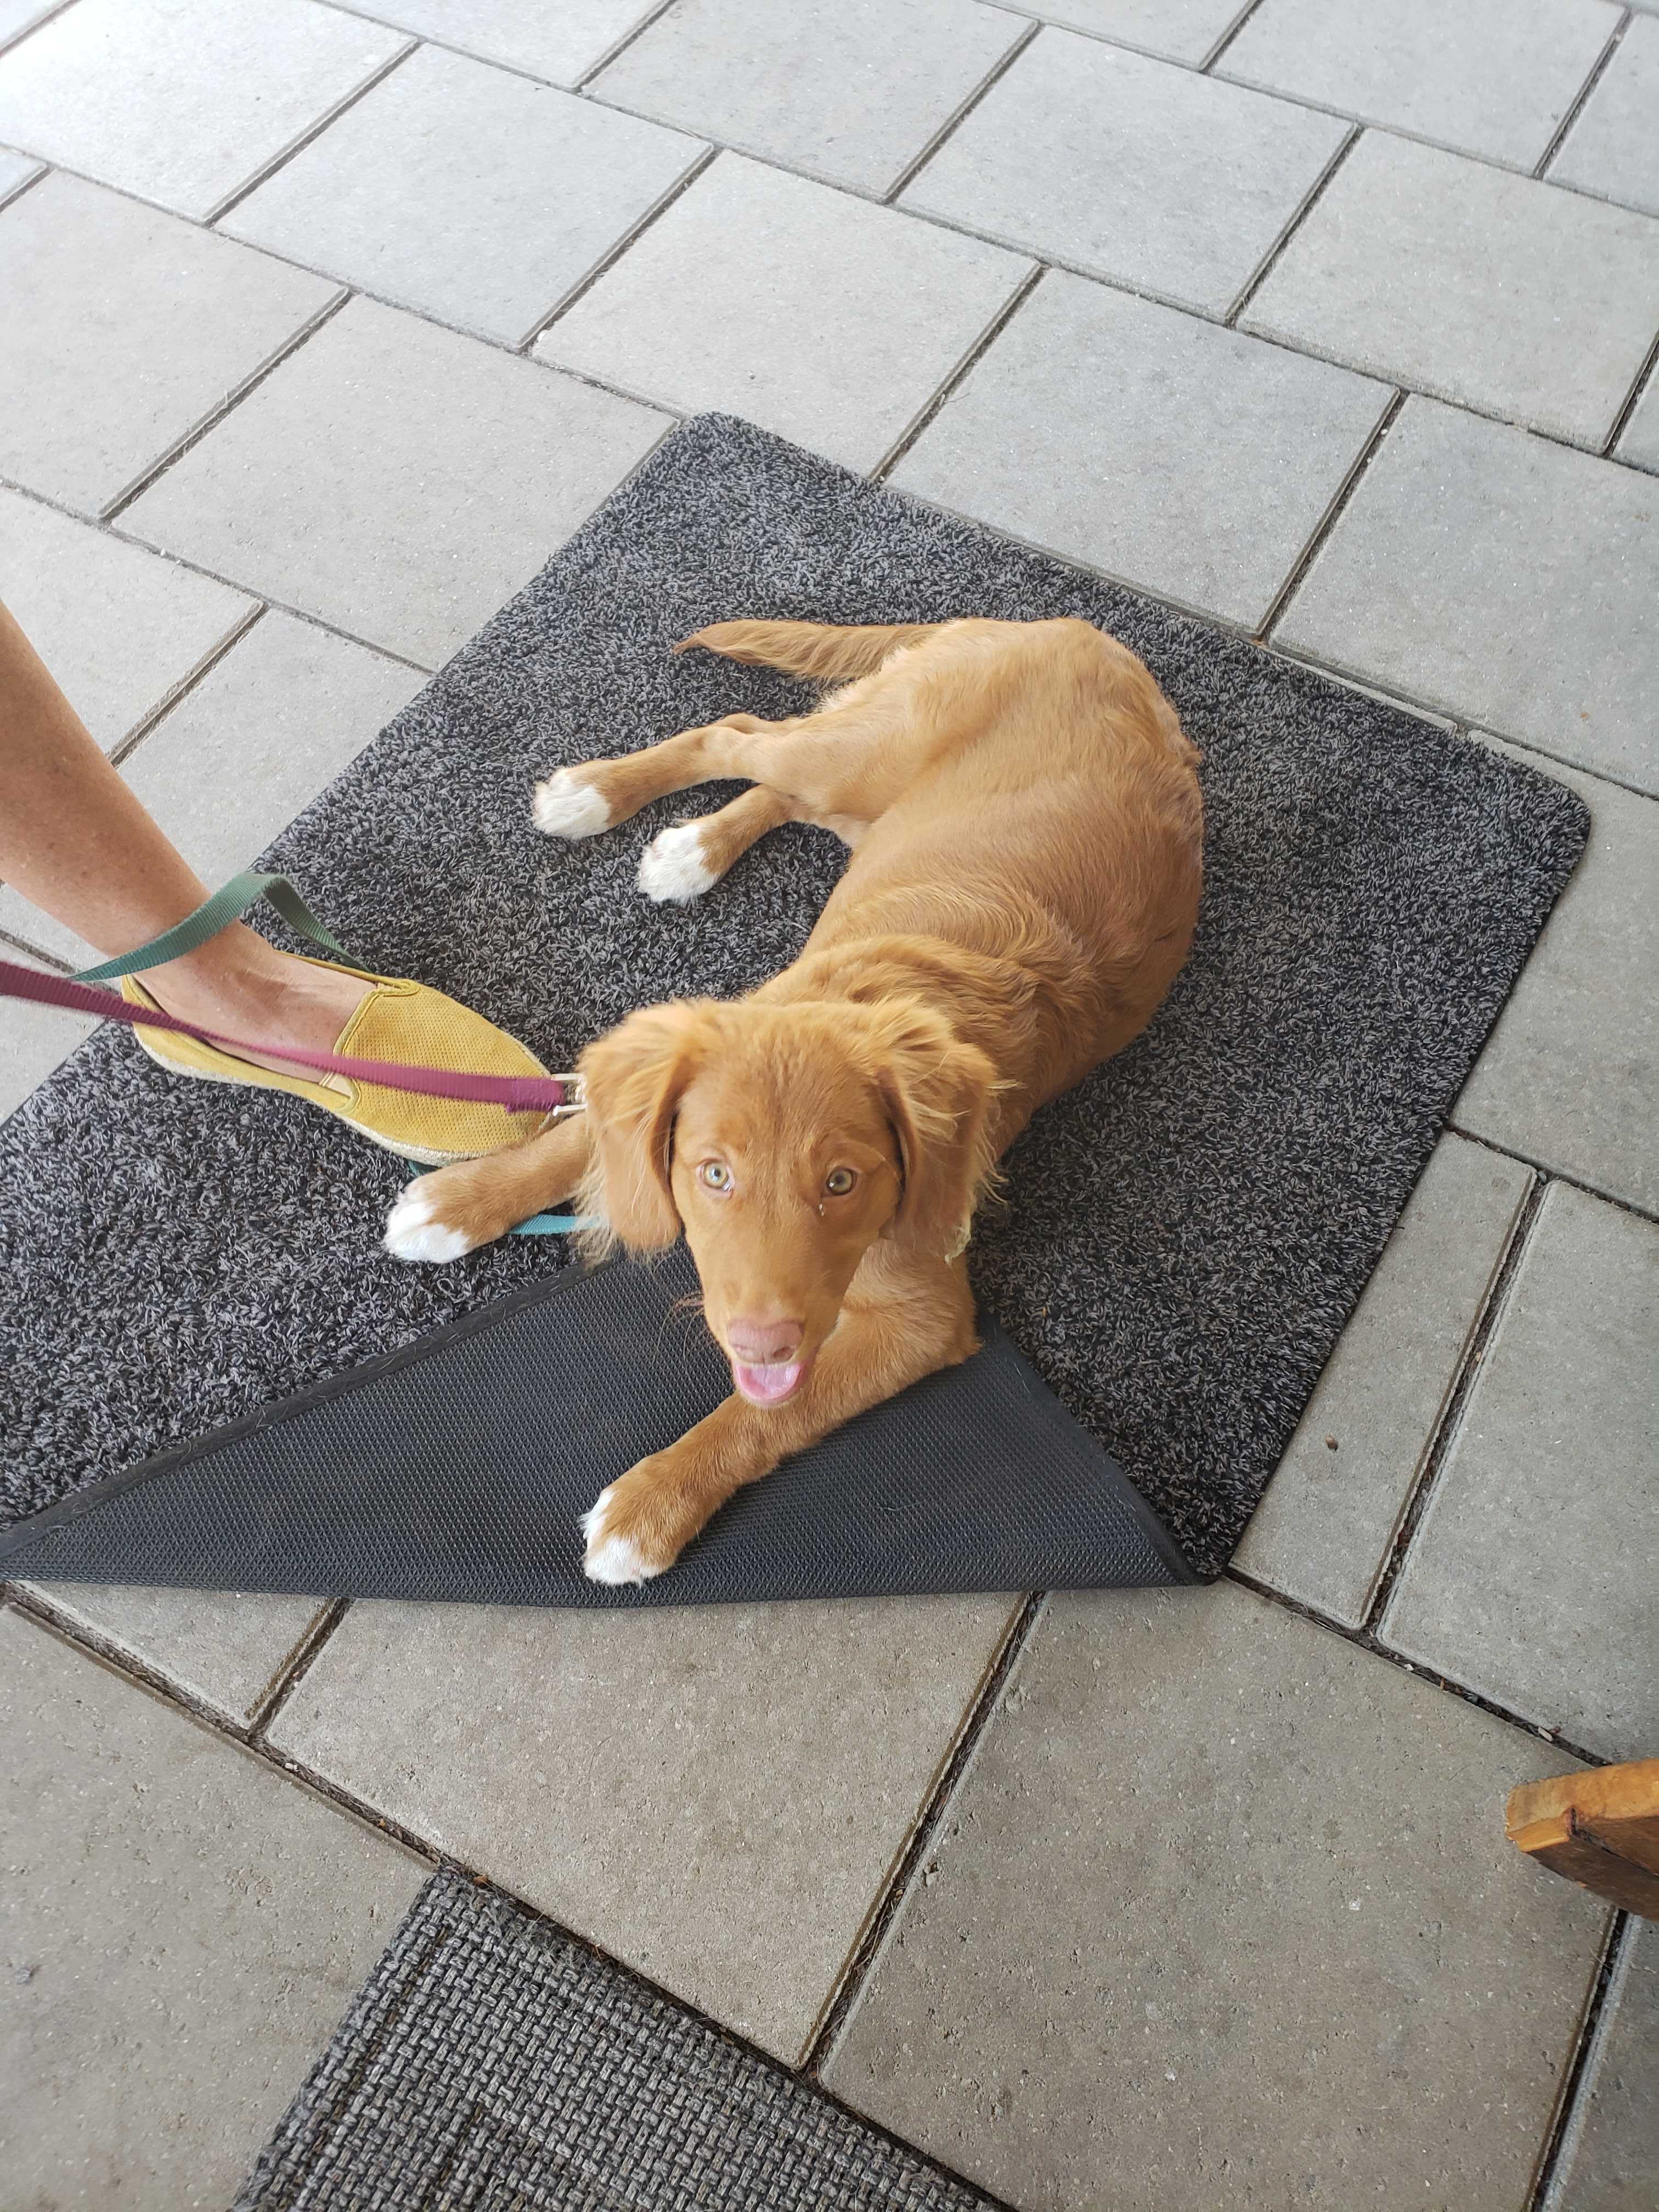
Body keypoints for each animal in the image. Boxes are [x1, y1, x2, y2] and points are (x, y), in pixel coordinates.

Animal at [382, 624, 1203, 1583]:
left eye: (844, 1182)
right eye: (713, 1175)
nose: (763, 1343)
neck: (882, 1004)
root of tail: (1081, 632)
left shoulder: (924, 1316)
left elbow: (772, 1411)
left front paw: (652, 1507)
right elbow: (578, 1138)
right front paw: (457, 1205)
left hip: (862, 793)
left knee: (769, 768)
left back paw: (688, 850)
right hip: (857, 758)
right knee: (738, 732)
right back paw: (601, 799)